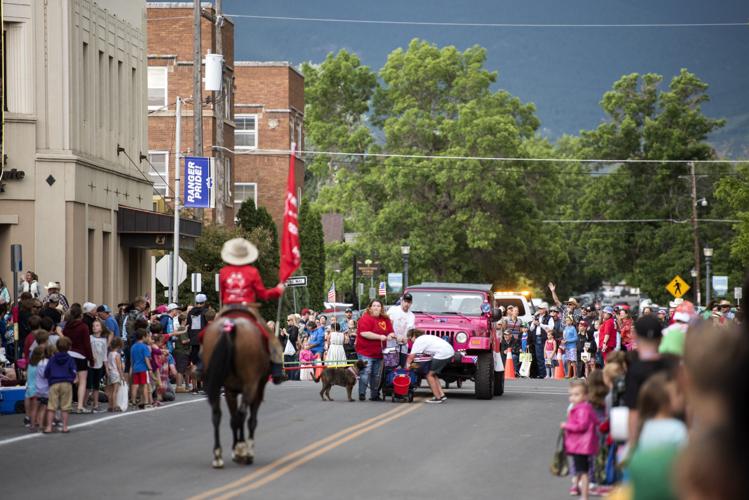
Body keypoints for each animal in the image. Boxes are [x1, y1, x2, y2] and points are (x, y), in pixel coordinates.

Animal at [202, 308, 268, 468]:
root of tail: (230, 326)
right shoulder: (256, 390)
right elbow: (250, 420)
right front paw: (243, 450)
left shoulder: (229, 390)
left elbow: (233, 420)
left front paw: (235, 449)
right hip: (250, 385)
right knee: (243, 414)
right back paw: (243, 452)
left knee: (217, 414)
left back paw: (218, 456)